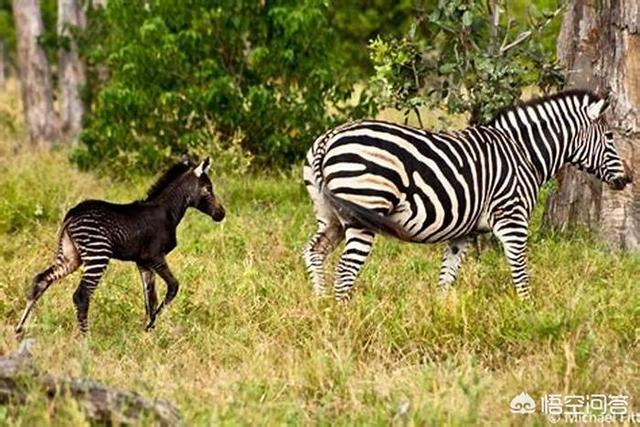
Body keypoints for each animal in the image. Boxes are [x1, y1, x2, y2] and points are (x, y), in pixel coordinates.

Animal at [15, 156, 225, 334]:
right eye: (208, 188)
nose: (221, 214)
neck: (167, 211)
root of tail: (72, 214)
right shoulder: (155, 256)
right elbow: (173, 287)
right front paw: (151, 325)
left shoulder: (143, 262)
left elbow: (150, 298)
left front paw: (149, 331)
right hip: (98, 254)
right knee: (81, 296)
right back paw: (86, 339)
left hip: (70, 256)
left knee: (41, 280)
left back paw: (20, 329)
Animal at [302, 91, 632, 300]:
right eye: (610, 137)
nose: (628, 179)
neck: (524, 153)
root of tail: (329, 138)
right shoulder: (512, 218)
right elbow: (520, 268)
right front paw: (528, 310)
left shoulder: (462, 232)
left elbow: (447, 276)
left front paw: (441, 316)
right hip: (363, 208)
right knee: (345, 270)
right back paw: (344, 316)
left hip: (330, 216)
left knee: (313, 252)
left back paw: (322, 306)